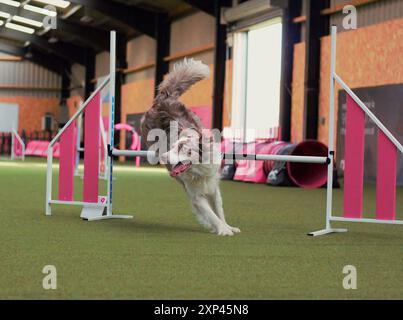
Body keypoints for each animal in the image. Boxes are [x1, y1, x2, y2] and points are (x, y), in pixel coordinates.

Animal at [142, 58, 241, 236]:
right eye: (174, 146)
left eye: (184, 149)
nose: (165, 157)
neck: (199, 170)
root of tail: (164, 99)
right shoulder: (195, 195)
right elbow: (211, 213)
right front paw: (222, 229)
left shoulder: (213, 187)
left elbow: (219, 210)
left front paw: (227, 226)